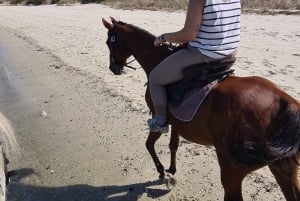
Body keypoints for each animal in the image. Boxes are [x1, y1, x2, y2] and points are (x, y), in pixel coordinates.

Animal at [102, 17, 300, 201]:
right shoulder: (177, 122)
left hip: (232, 170)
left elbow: (149, 144)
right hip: (283, 169)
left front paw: (162, 171)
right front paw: (172, 169)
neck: (157, 61)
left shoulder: (160, 118)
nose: (113, 68)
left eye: (109, 42)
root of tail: (285, 102)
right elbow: (173, 145)